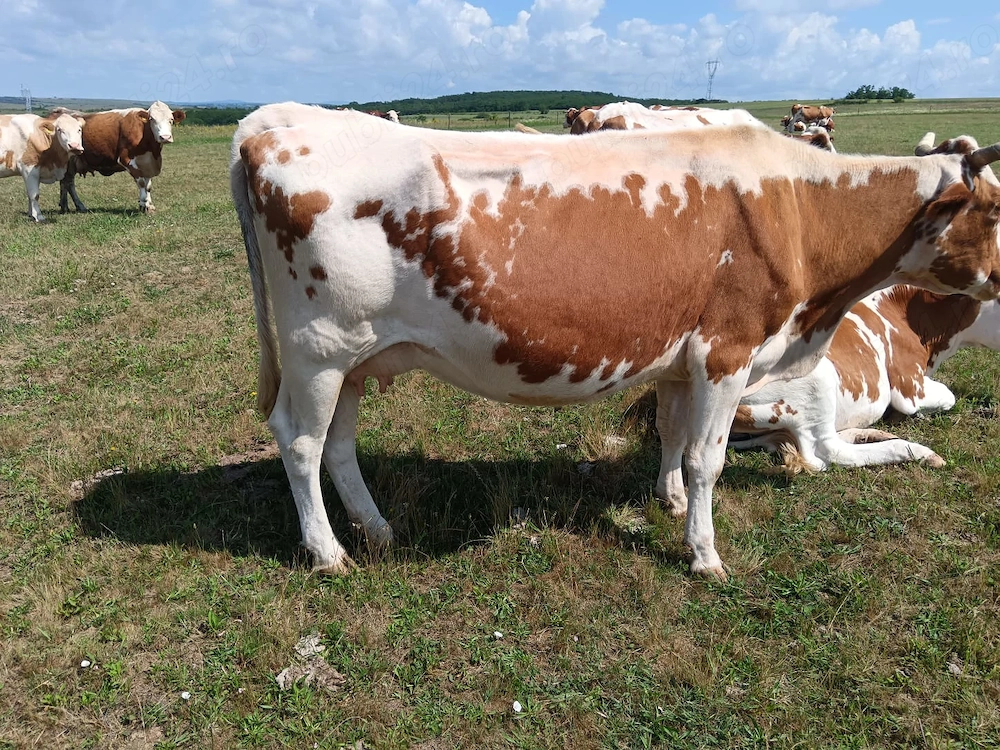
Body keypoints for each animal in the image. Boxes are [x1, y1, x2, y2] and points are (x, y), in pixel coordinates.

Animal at [57, 101, 185, 214]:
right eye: (151, 119)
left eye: (171, 120)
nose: (165, 137)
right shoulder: (125, 159)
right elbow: (141, 183)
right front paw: (144, 205)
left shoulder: (147, 163)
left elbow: (148, 185)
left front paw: (149, 205)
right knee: (67, 182)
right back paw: (72, 206)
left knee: (67, 182)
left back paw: (69, 206)